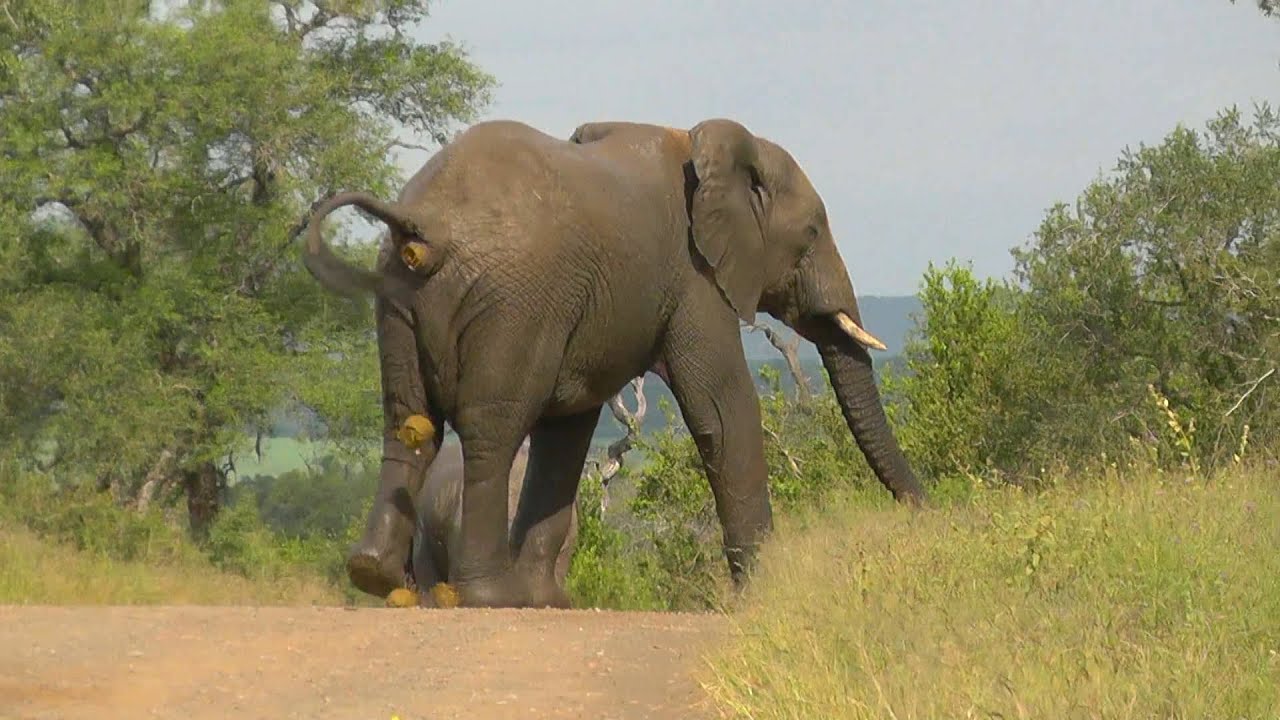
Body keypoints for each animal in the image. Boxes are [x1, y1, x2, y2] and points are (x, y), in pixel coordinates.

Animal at [307, 116, 931, 604]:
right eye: (811, 232)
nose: (926, 514)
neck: (713, 146)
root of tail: (422, 224)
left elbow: (568, 428)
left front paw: (548, 602)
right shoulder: (694, 275)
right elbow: (722, 407)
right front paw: (763, 592)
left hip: (397, 295)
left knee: (407, 421)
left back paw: (376, 575)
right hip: (511, 302)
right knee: (493, 427)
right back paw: (486, 595)